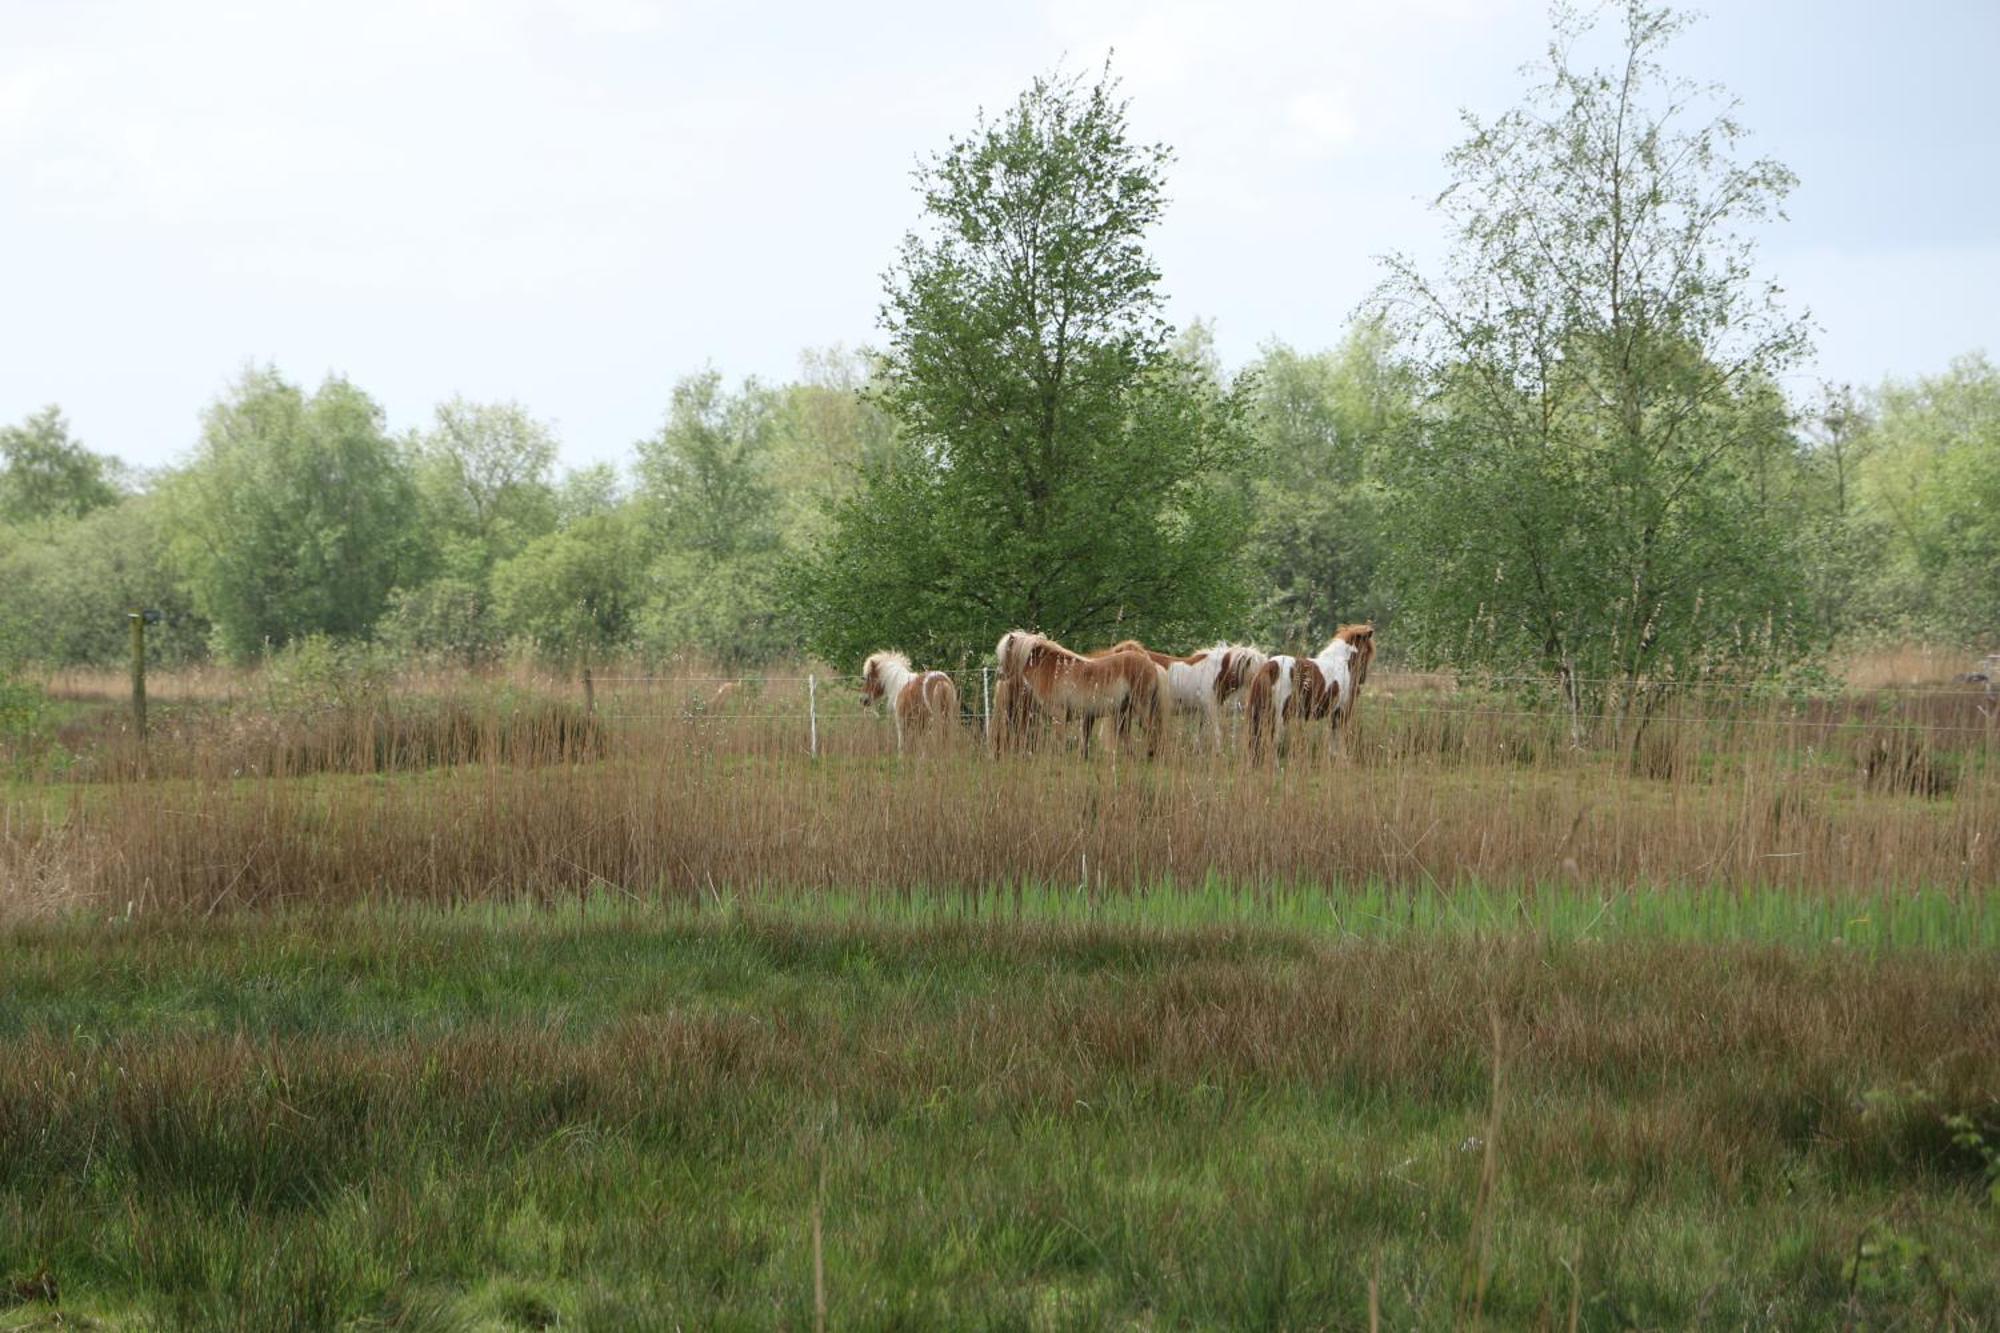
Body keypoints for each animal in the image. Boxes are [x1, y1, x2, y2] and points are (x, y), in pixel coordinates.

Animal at [1008, 628, 1168, 752]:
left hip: (1140, 708)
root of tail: (1152, 665)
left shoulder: (1059, 714)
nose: (1003, 675)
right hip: (1125, 712)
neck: (1052, 669)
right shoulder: (1086, 716)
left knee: (1152, 731)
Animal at [1248, 624, 1376, 756]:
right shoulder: (1341, 712)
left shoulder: (1334, 714)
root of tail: (1270, 667)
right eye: (1367, 651)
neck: (1342, 663)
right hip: (1279, 718)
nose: (1362, 679)